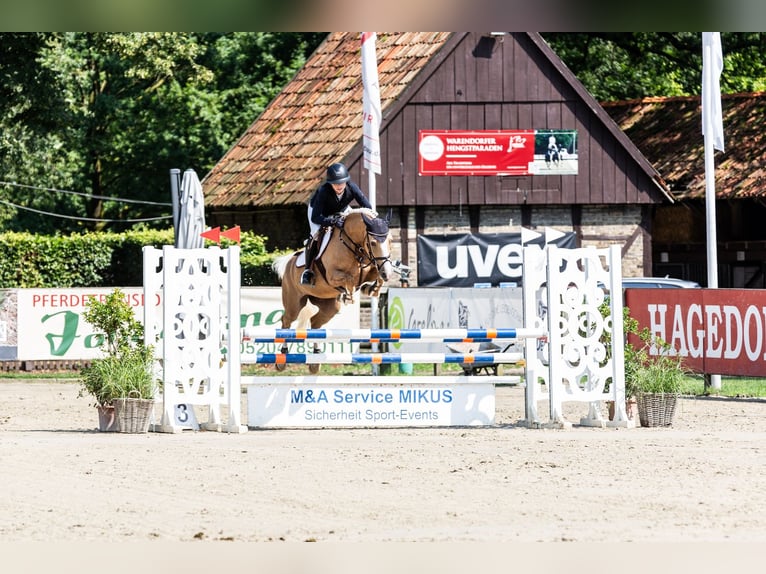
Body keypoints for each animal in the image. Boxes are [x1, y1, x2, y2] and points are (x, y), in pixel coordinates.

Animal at [272, 209, 396, 376]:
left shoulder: (372, 268)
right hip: (294, 303)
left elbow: (375, 275)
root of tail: (289, 262)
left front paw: (370, 289)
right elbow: (350, 279)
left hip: (329, 306)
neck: (353, 246)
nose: (387, 273)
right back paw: (282, 359)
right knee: (286, 321)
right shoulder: (333, 276)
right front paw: (350, 295)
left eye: (390, 240)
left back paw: (315, 361)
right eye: (373, 243)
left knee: (315, 323)